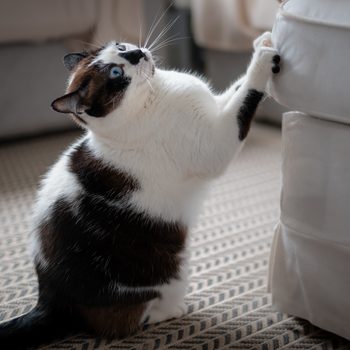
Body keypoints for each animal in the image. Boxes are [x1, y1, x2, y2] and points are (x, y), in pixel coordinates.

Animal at [0, 31, 278, 348]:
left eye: (121, 48)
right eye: (115, 73)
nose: (135, 54)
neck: (155, 94)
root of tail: (48, 298)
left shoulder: (216, 107)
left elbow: (235, 89)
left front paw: (262, 42)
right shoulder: (215, 143)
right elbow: (245, 97)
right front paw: (263, 60)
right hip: (168, 276)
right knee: (131, 320)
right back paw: (172, 311)